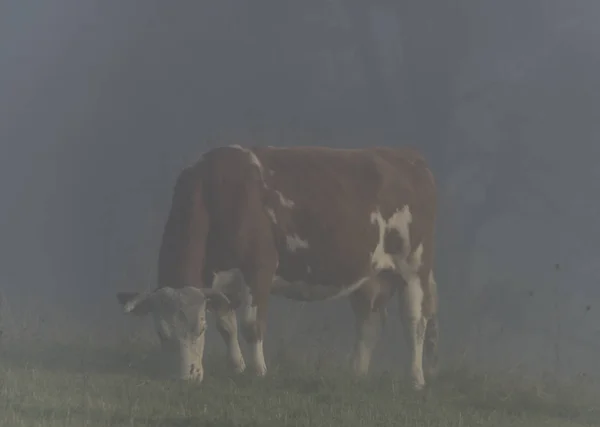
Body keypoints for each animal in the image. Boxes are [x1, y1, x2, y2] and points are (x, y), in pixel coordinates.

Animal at [117, 145, 438, 392]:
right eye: (162, 333)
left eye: (200, 328)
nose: (186, 377)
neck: (215, 192)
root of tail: (407, 156)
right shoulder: (217, 282)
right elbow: (227, 324)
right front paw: (237, 367)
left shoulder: (259, 269)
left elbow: (250, 325)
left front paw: (258, 371)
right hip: (372, 276)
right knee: (370, 321)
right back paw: (356, 374)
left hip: (414, 267)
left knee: (414, 322)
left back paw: (416, 379)